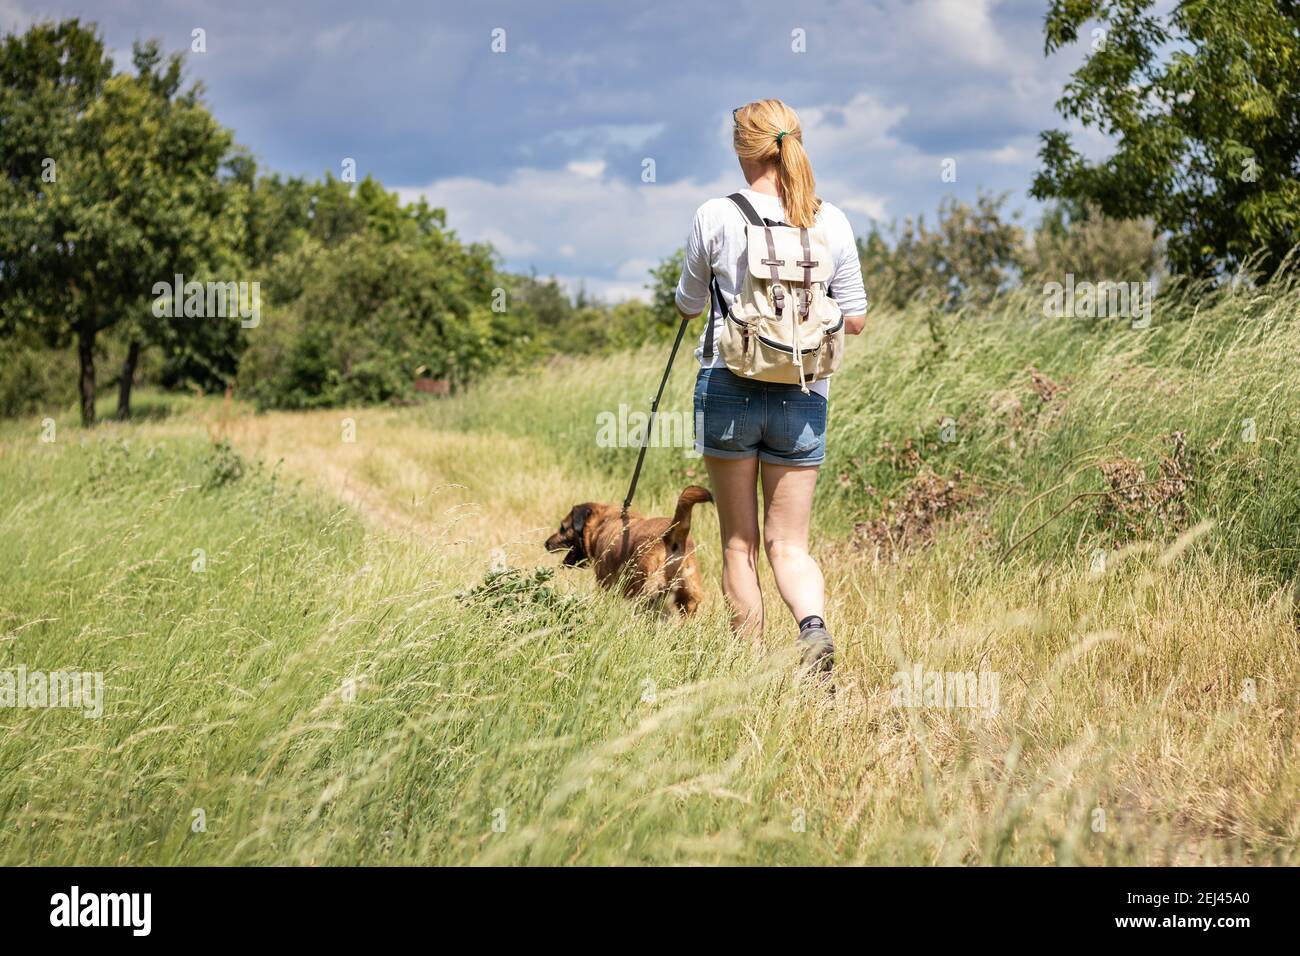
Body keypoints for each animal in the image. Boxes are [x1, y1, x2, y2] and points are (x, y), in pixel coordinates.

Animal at [543, 486, 717, 613]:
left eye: (563, 528)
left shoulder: (605, 584)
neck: (603, 522)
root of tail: (671, 535)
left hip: (647, 592)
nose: (546, 543)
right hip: (689, 600)